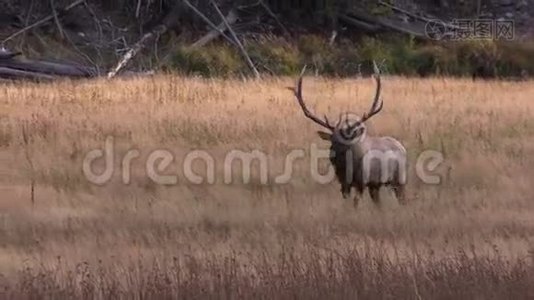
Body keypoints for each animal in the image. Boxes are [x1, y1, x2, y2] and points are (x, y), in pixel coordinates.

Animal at [292, 62, 408, 209]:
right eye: (332, 141)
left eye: (345, 140)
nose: (333, 156)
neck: (347, 169)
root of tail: (401, 146)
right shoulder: (343, 183)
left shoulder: (361, 182)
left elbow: (355, 202)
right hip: (375, 185)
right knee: (378, 202)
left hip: (399, 179)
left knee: (402, 198)